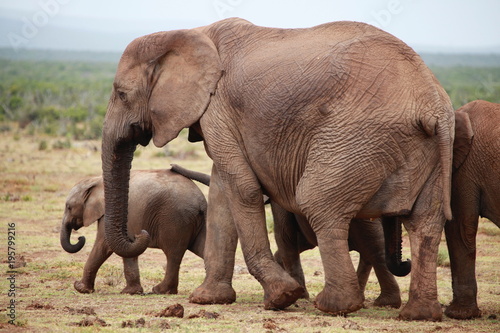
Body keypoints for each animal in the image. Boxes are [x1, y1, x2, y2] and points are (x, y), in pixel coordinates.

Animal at [59, 169, 206, 294]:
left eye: (69, 207)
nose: (80, 238)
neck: (97, 181)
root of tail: (200, 201)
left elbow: (103, 245)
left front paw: (80, 288)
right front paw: (131, 292)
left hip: (174, 219)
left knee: (173, 254)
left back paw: (160, 290)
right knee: (201, 248)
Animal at [99, 18, 456, 320]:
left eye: (122, 94)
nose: (140, 233)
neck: (190, 33)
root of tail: (432, 104)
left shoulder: (219, 108)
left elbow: (242, 188)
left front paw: (282, 297)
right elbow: (221, 190)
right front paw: (208, 299)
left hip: (357, 137)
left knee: (318, 203)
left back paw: (334, 305)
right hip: (431, 148)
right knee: (425, 222)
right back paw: (418, 315)